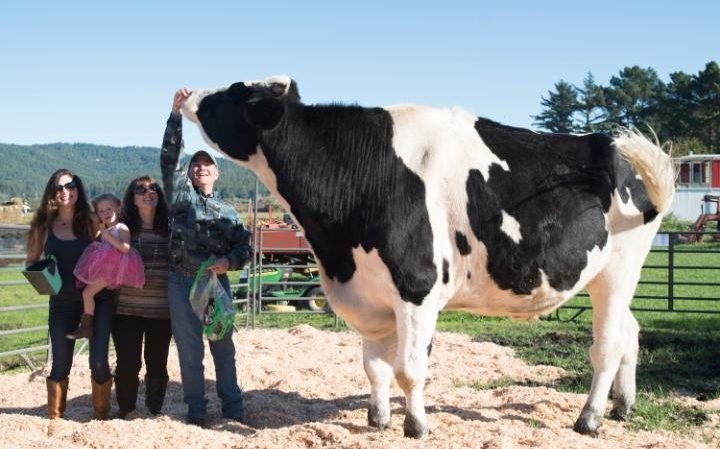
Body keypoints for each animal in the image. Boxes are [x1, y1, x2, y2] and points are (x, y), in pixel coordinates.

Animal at [180, 75, 676, 436]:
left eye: (232, 93)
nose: (186, 94)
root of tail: (610, 145)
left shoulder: (416, 288)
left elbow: (409, 368)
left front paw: (415, 426)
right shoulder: (370, 292)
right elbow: (375, 366)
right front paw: (378, 420)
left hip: (617, 272)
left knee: (608, 346)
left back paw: (589, 419)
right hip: (610, 278)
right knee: (631, 333)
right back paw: (622, 406)